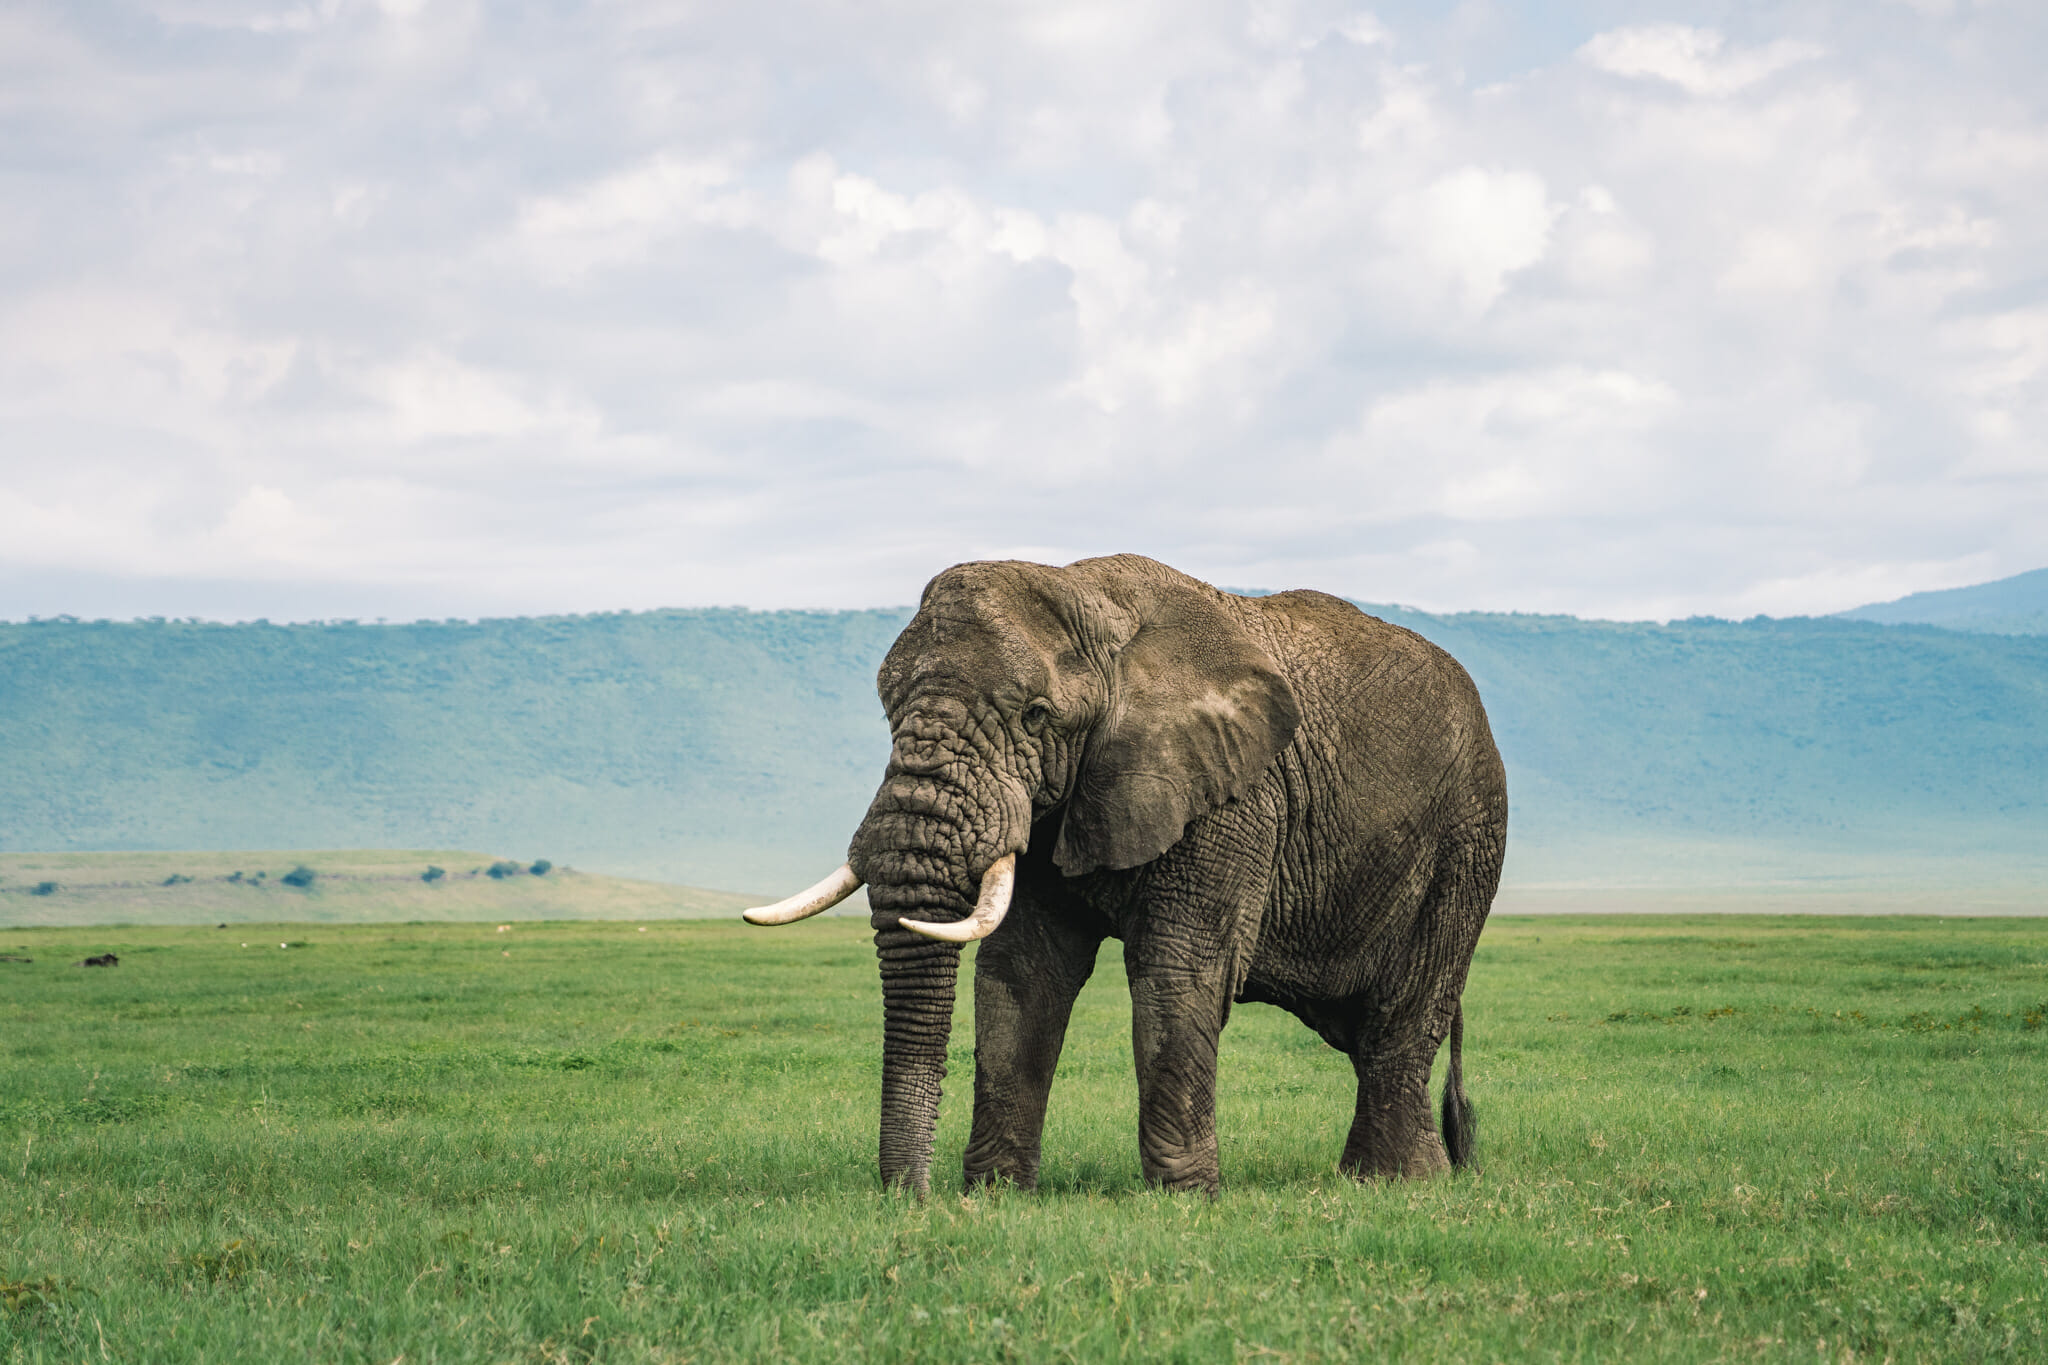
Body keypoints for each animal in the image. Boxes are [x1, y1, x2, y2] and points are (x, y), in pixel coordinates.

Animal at [745, 554, 1507, 1196]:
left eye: (1035, 716)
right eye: (887, 708)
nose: (911, 1198)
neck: (1090, 598)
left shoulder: (1234, 794)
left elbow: (1179, 966)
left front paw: (1185, 1198)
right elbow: (1024, 973)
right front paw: (996, 1195)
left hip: (1466, 839)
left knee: (1402, 1014)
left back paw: (1396, 1183)